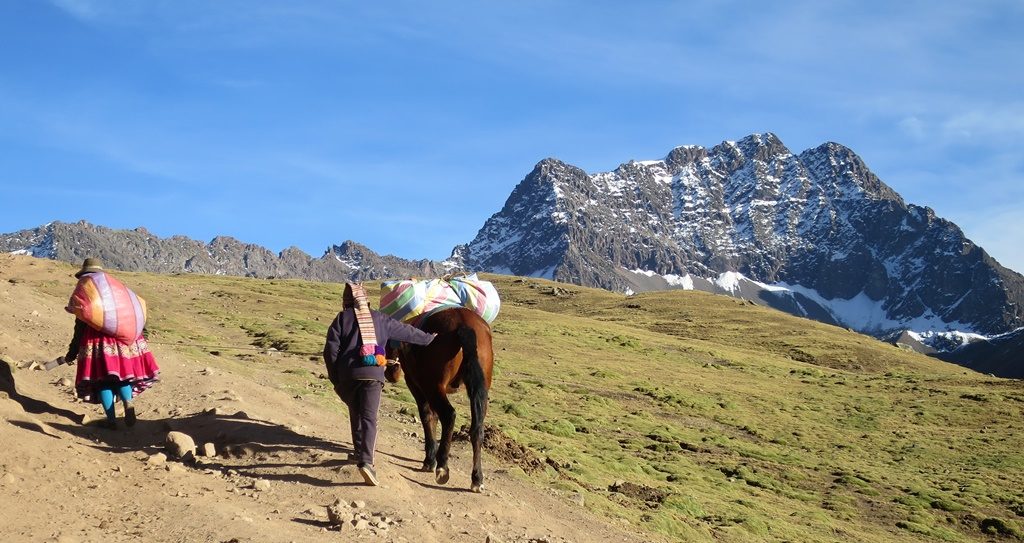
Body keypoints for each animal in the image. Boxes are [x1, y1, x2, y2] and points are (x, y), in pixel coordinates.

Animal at [385, 303, 493, 489]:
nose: (390, 375)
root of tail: (464, 324)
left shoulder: (417, 385)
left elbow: (427, 416)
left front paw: (430, 460)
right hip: (480, 390)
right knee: (477, 429)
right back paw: (477, 478)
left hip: (434, 386)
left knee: (449, 415)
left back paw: (442, 466)